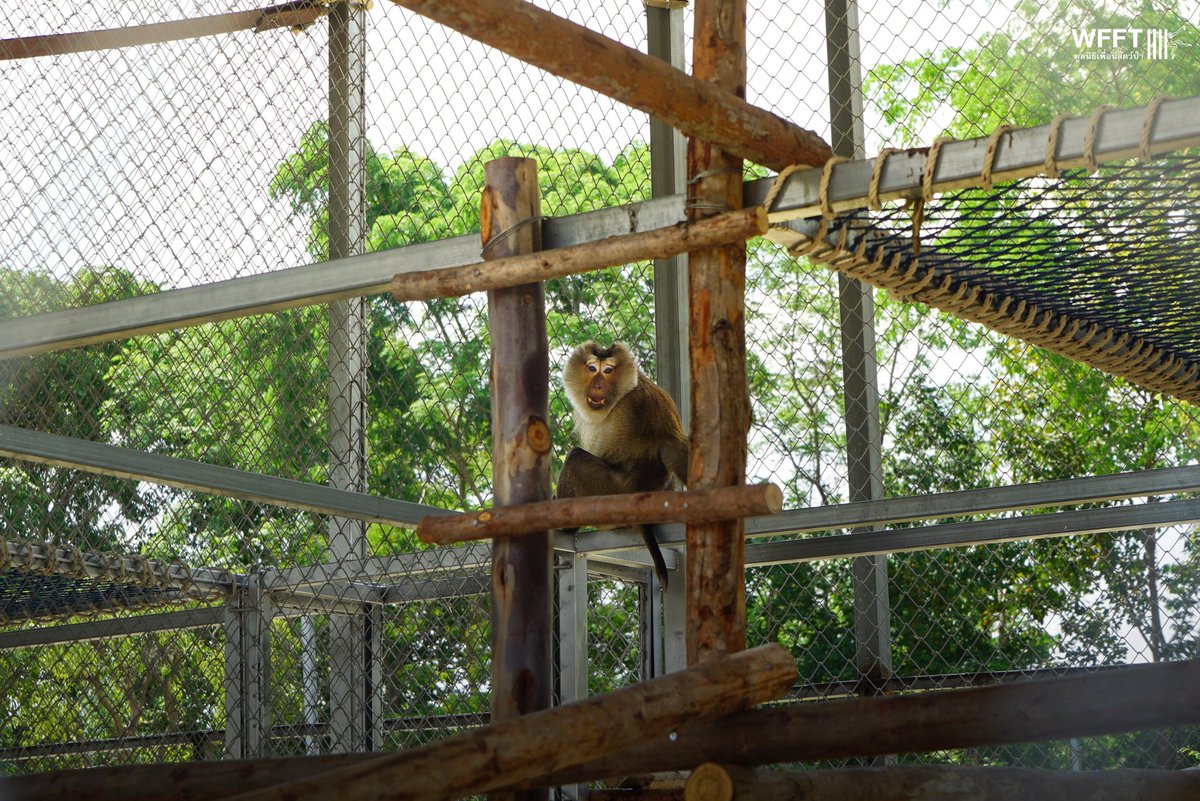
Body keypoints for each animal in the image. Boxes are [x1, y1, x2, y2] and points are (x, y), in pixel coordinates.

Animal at [556, 341, 688, 588]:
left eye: (608, 370)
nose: (598, 384)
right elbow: (671, 448)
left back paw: (565, 526)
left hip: (610, 494)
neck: (622, 395)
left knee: (575, 459)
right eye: (592, 369)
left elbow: (671, 443)